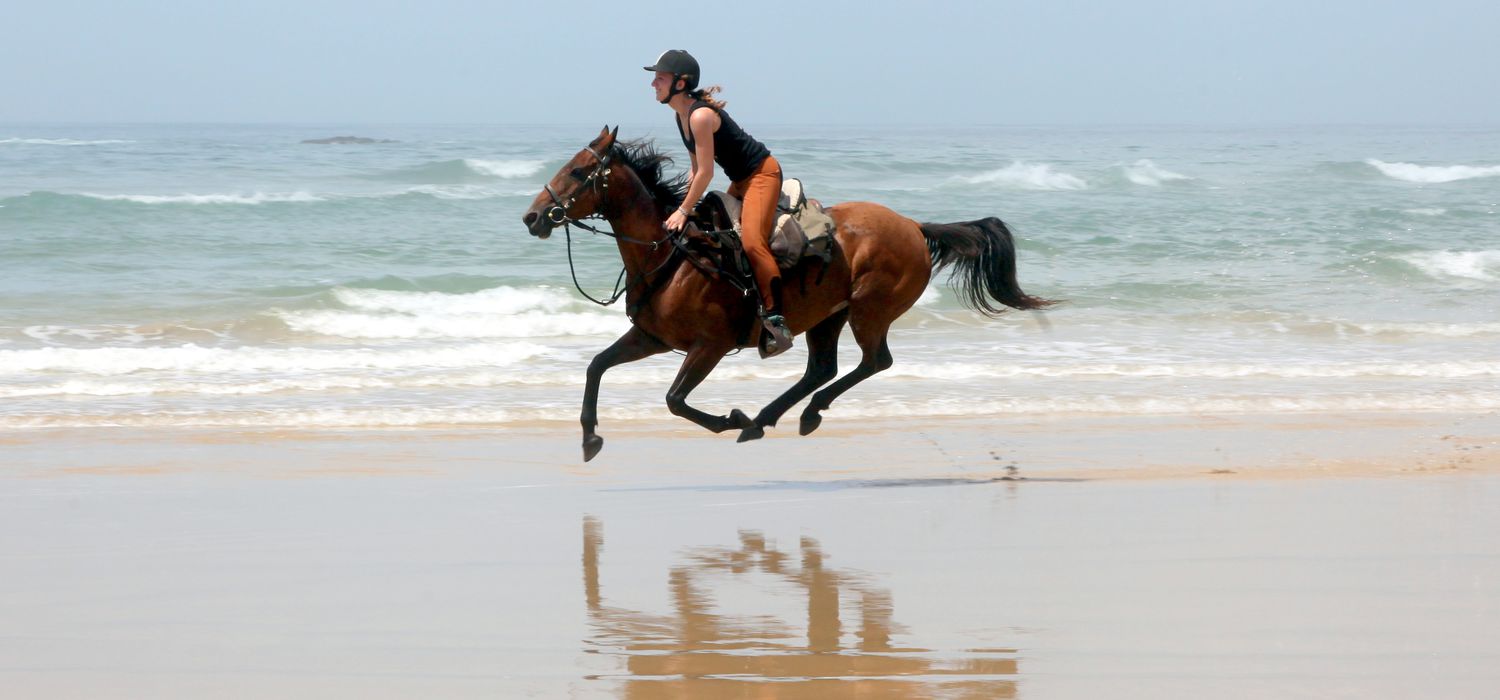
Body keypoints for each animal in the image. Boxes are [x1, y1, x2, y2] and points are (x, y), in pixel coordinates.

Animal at [525, 128, 1056, 461]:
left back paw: (790, 415)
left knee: (874, 361)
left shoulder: (709, 346)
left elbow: (675, 399)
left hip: (868, 309)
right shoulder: (652, 338)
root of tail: (914, 225)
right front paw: (590, 438)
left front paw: (730, 418)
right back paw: (773, 417)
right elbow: (596, 366)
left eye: (578, 173)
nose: (532, 218)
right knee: (824, 367)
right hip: (828, 315)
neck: (671, 254)